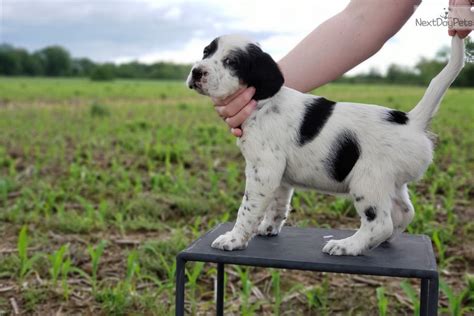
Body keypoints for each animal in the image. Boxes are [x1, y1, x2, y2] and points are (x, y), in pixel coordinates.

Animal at [187, 34, 464, 256]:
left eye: (231, 62)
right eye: (206, 52)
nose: (197, 72)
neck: (263, 102)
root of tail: (412, 121)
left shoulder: (263, 170)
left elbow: (247, 209)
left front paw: (234, 239)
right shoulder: (279, 177)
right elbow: (278, 205)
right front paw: (268, 228)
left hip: (367, 181)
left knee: (380, 223)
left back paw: (348, 246)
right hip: (392, 185)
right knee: (404, 214)